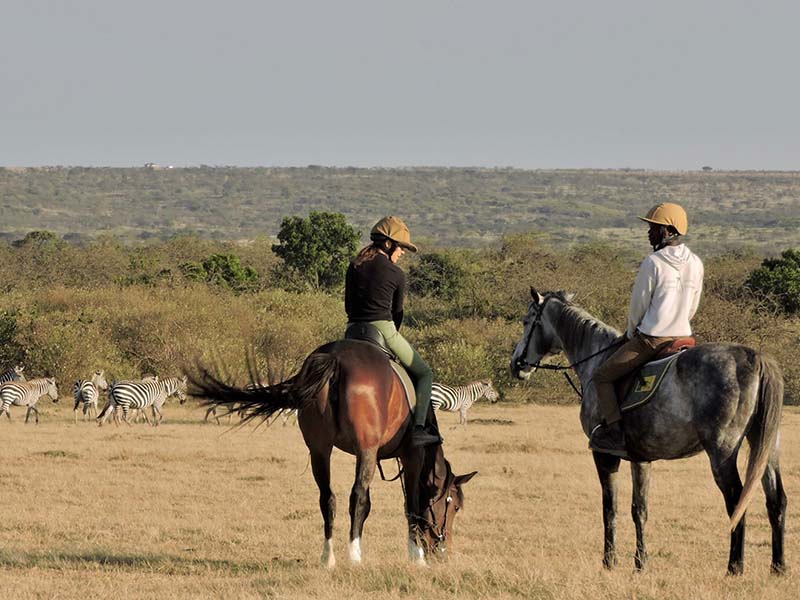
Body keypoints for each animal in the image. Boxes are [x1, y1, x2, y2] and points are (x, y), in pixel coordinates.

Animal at [189, 340, 476, 564]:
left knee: (327, 498)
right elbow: (411, 504)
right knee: (357, 497)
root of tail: (335, 360)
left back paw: (328, 558)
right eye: (455, 506)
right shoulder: (411, 456)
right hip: (365, 450)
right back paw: (355, 556)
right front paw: (416, 556)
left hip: (319, 449)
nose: (444, 551)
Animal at [510, 288, 784, 576]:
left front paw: (609, 561)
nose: (517, 364)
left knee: (736, 500)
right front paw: (640, 562)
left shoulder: (603, 454)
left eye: (526, 322)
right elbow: (639, 509)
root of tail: (754, 357)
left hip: (722, 453)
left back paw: (734, 567)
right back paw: (778, 566)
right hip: (765, 448)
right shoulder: (641, 458)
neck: (596, 357)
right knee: (776, 500)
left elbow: (610, 508)